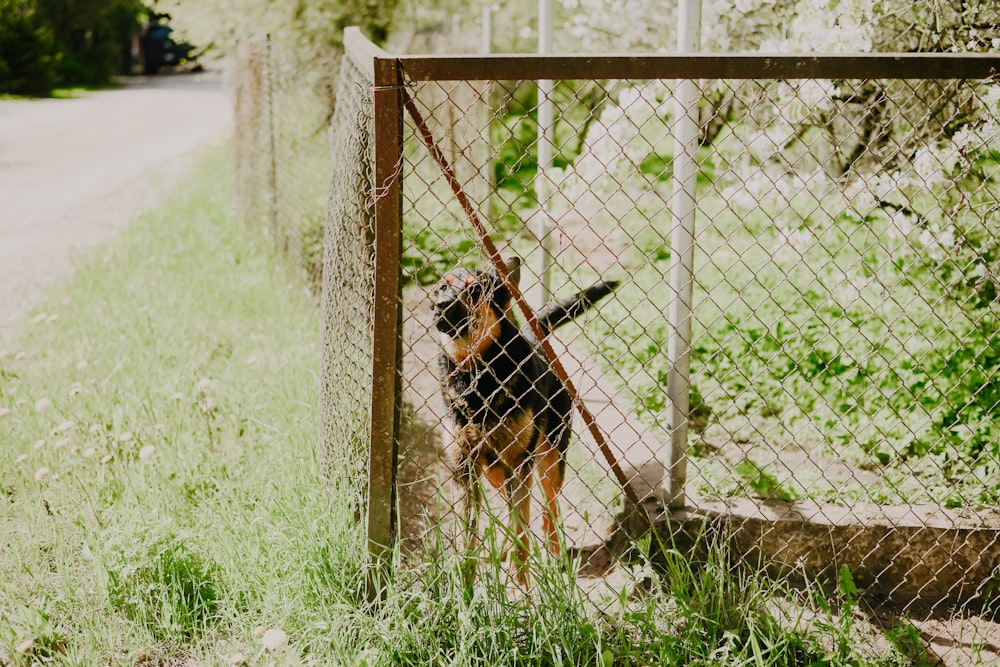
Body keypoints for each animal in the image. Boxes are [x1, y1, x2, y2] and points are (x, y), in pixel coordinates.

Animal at [432, 258, 616, 580]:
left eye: (475, 290)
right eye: (443, 286)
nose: (440, 306)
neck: (478, 374)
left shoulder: (520, 464)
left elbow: (522, 535)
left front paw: (521, 591)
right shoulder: (463, 469)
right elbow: (467, 540)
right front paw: (465, 587)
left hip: (549, 462)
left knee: (547, 513)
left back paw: (555, 557)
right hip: (497, 473)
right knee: (513, 512)